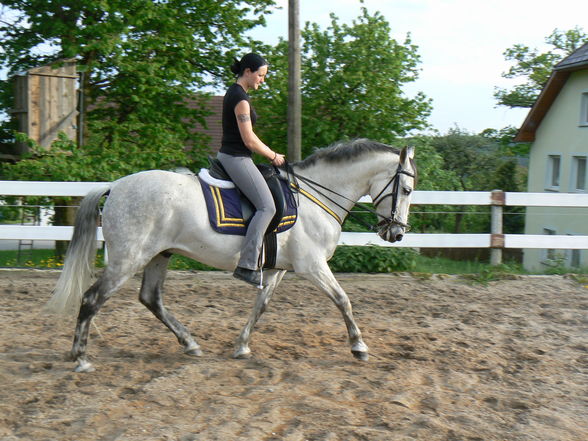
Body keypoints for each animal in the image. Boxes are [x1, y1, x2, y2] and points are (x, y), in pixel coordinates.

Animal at [47, 138, 418, 372]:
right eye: (407, 189)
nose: (397, 233)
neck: (313, 197)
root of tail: (115, 186)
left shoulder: (277, 269)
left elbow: (261, 306)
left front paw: (241, 346)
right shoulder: (311, 266)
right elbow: (343, 300)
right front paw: (359, 347)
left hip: (158, 255)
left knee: (151, 298)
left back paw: (190, 343)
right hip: (128, 258)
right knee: (92, 298)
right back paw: (80, 358)